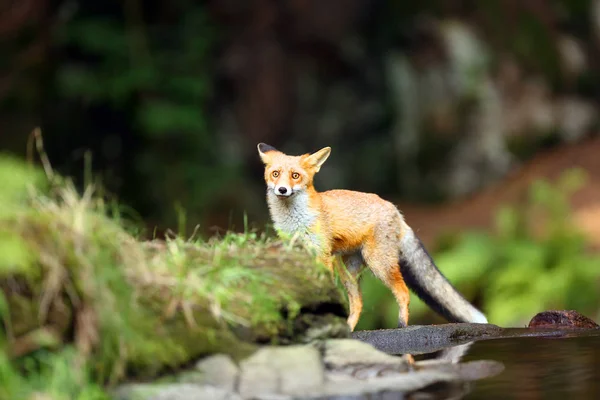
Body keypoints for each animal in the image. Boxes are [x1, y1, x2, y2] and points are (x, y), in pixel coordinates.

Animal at [256, 142, 488, 330]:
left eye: (295, 176)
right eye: (275, 174)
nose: (282, 190)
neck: (295, 221)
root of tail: (394, 209)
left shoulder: (321, 254)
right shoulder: (296, 251)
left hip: (378, 263)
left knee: (403, 292)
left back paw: (401, 325)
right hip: (347, 270)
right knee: (358, 303)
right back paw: (348, 330)